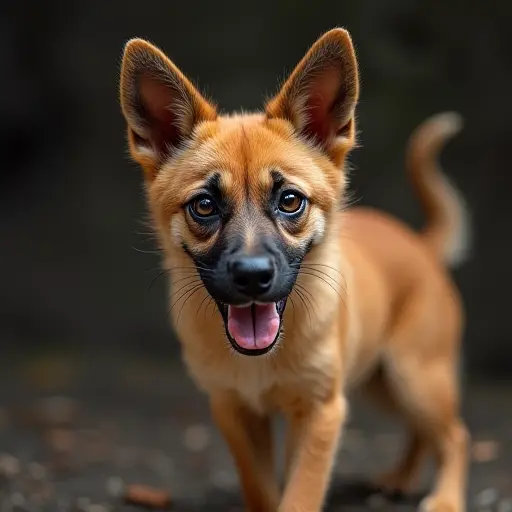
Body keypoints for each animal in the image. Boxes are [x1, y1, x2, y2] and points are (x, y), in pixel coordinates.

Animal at [118, 29, 470, 512]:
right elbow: (262, 489)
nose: (251, 276)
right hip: (381, 381)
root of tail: (420, 245)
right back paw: (399, 477)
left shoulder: (322, 410)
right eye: (204, 206)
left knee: (455, 435)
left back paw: (445, 498)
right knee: (423, 432)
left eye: (290, 201)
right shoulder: (234, 411)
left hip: (415, 376)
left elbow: (301, 492)